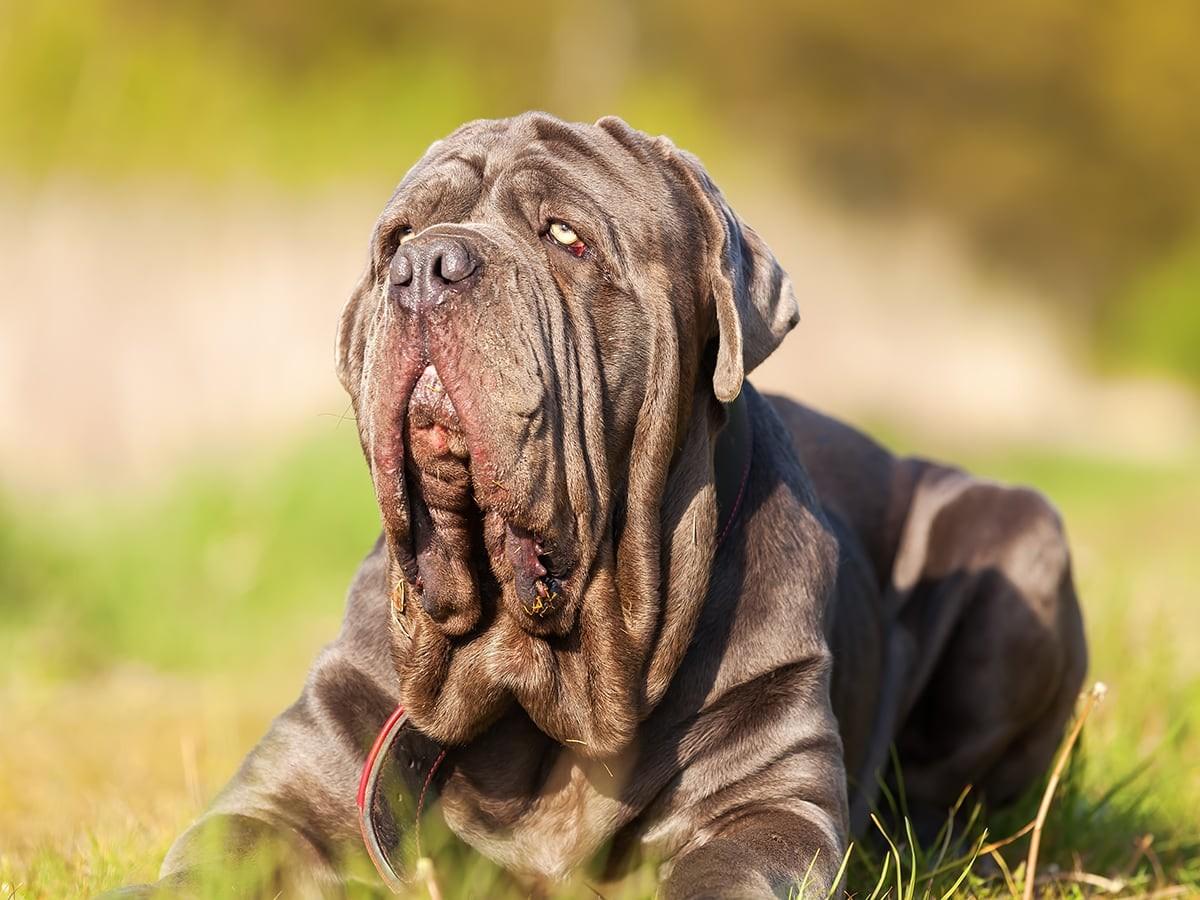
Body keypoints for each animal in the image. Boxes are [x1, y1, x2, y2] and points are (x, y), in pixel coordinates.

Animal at [110, 114, 1089, 900]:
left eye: (565, 236)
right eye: (399, 236)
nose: (426, 264)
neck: (538, 669)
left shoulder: (769, 811)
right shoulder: (288, 792)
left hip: (1020, 542)